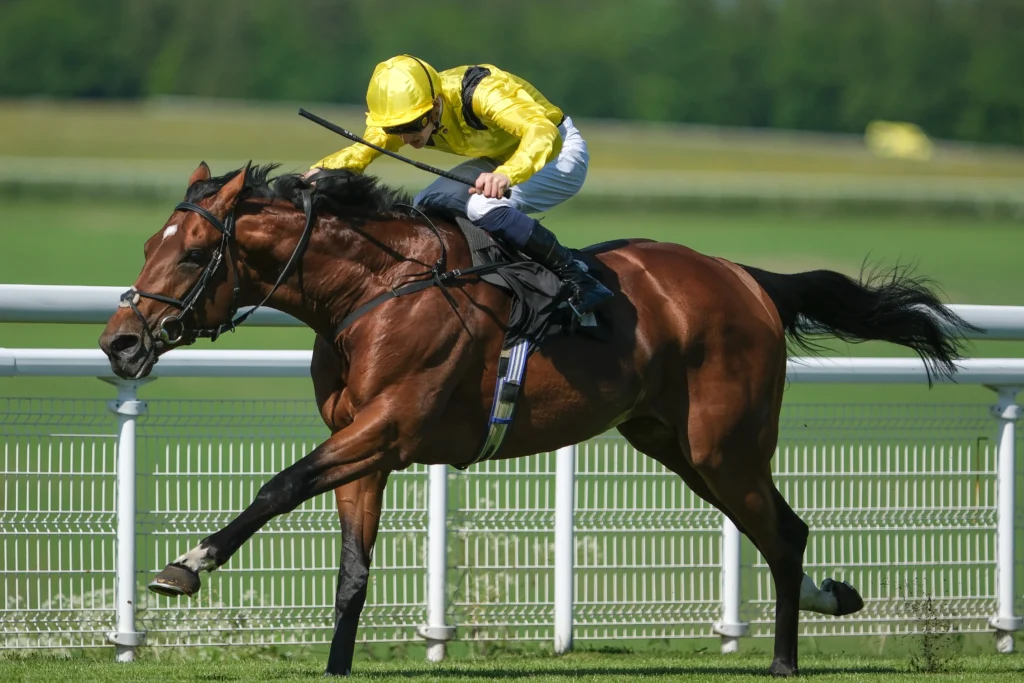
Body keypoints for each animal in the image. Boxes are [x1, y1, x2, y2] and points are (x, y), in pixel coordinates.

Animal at [98, 162, 975, 677]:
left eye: (189, 253)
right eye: (145, 243)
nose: (120, 341)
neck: (373, 290)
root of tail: (750, 279)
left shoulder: (390, 426)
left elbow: (279, 485)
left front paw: (187, 563)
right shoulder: (366, 446)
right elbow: (352, 569)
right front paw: (337, 663)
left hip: (723, 444)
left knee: (784, 533)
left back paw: (787, 659)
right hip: (676, 444)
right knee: (779, 529)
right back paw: (832, 602)